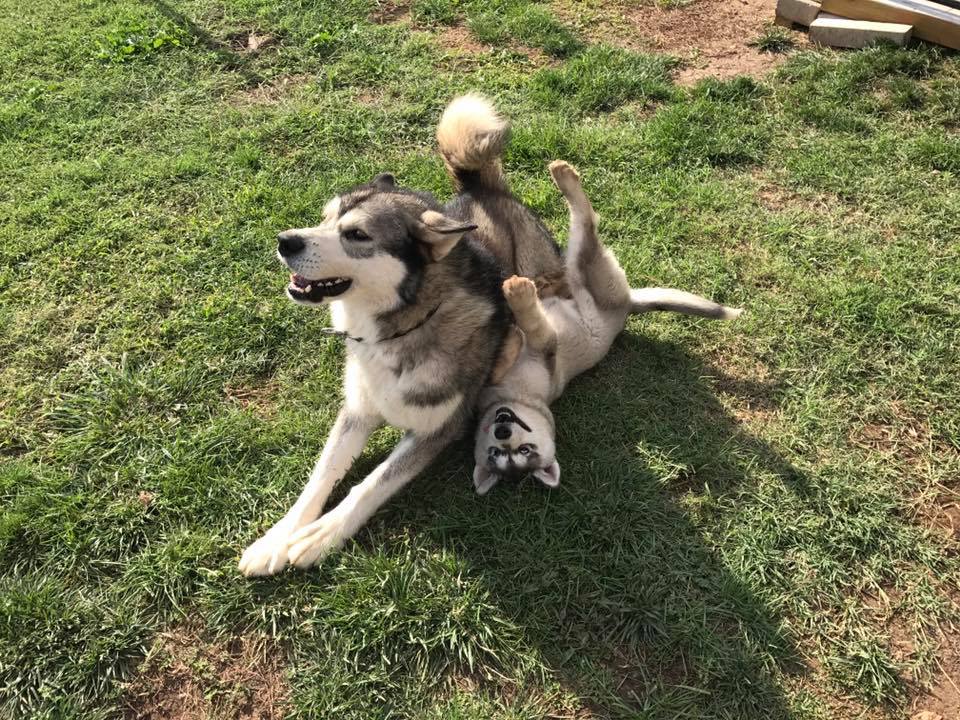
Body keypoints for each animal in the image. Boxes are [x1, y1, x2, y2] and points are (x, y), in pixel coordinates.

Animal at [239, 97, 564, 580]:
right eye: (325, 217)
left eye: (356, 234)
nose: (284, 241)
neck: (399, 328)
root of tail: (481, 188)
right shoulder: (356, 410)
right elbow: (321, 475)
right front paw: (275, 539)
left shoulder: (438, 429)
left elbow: (371, 483)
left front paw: (320, 536)